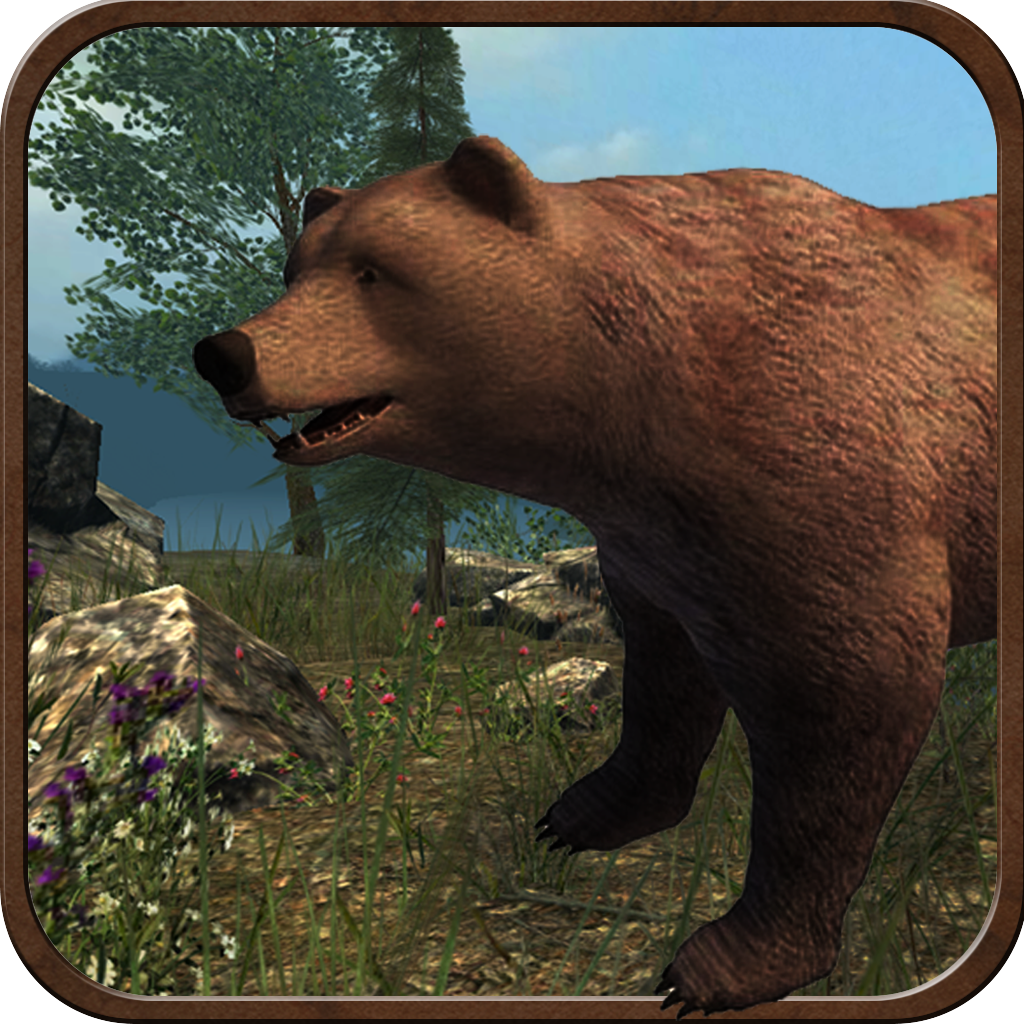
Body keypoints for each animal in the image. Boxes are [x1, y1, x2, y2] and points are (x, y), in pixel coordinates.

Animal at [193, 136, 997, 1014]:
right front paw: (582, 811)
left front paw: (720, 963)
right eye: (295, 270)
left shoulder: (831, 477)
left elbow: (846, 706)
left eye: (374, 270)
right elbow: (662, 678)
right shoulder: (660, 546)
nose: (224, 353)